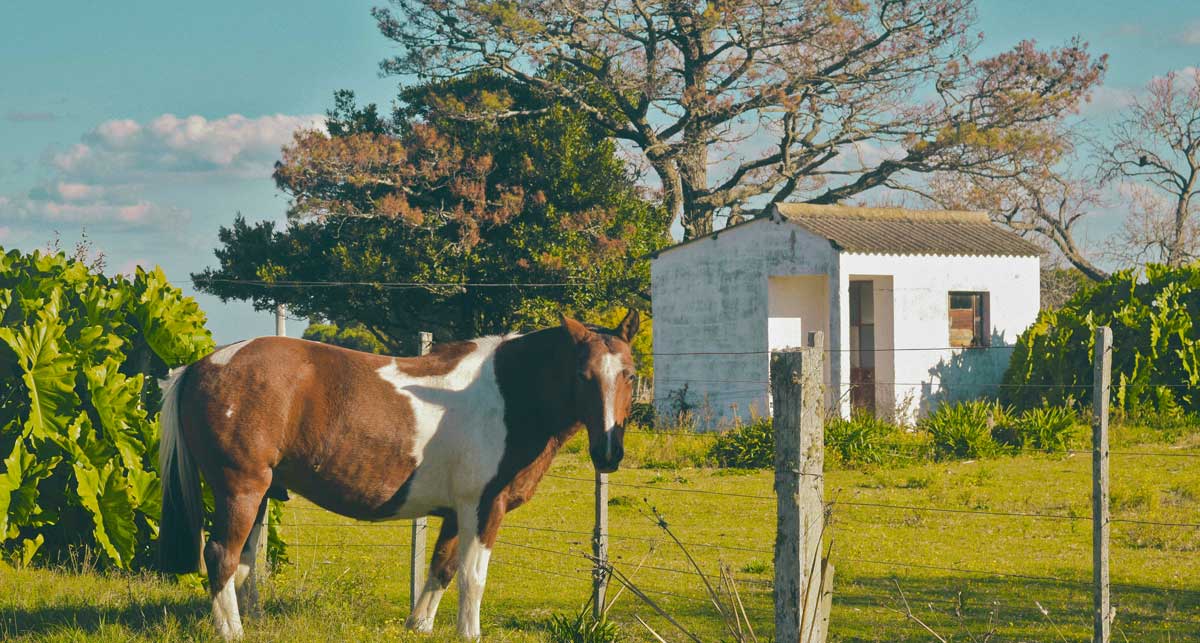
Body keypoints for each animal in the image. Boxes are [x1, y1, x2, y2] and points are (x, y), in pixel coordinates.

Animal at [157, 311, 639, 640]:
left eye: (630, 375)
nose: (608, 453)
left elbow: (443, 569)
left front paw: (419, 625)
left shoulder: (454, 513)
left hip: (258, 496)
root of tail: (201, 366)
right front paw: (469, 633)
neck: (507, 394)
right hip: (240, 489)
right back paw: (232, 631)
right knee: (221, 555)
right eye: (583, 375)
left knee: (243, 563)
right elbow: (472, 577)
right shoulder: (483, 508)